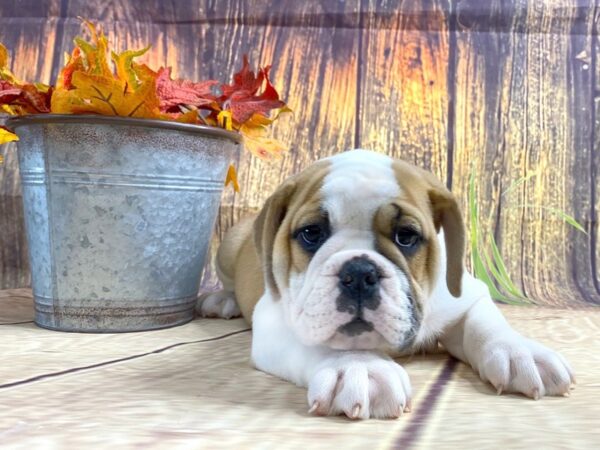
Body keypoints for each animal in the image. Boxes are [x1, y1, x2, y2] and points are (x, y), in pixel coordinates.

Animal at [196, 149, 572, 420]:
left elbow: (487, 324)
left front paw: (521, 352)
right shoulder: (275, 320)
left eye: (406, 236)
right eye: (310, 233)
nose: (359, 272)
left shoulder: (468, 297)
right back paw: (221, 300)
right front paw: (359, 366)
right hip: (229, 244)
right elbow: (327, 343)